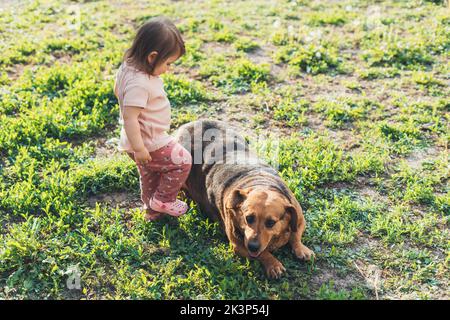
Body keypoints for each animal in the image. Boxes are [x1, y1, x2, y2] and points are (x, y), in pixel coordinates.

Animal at [174, 120, 314, 278]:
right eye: (248, 218)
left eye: (271, 223)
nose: (253, 246)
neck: (261, 183)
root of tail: (188, 125)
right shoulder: (238, 245)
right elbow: (262, 253)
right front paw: (273, 263)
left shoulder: (299, 216)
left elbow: (295, 234)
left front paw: (301, 248)